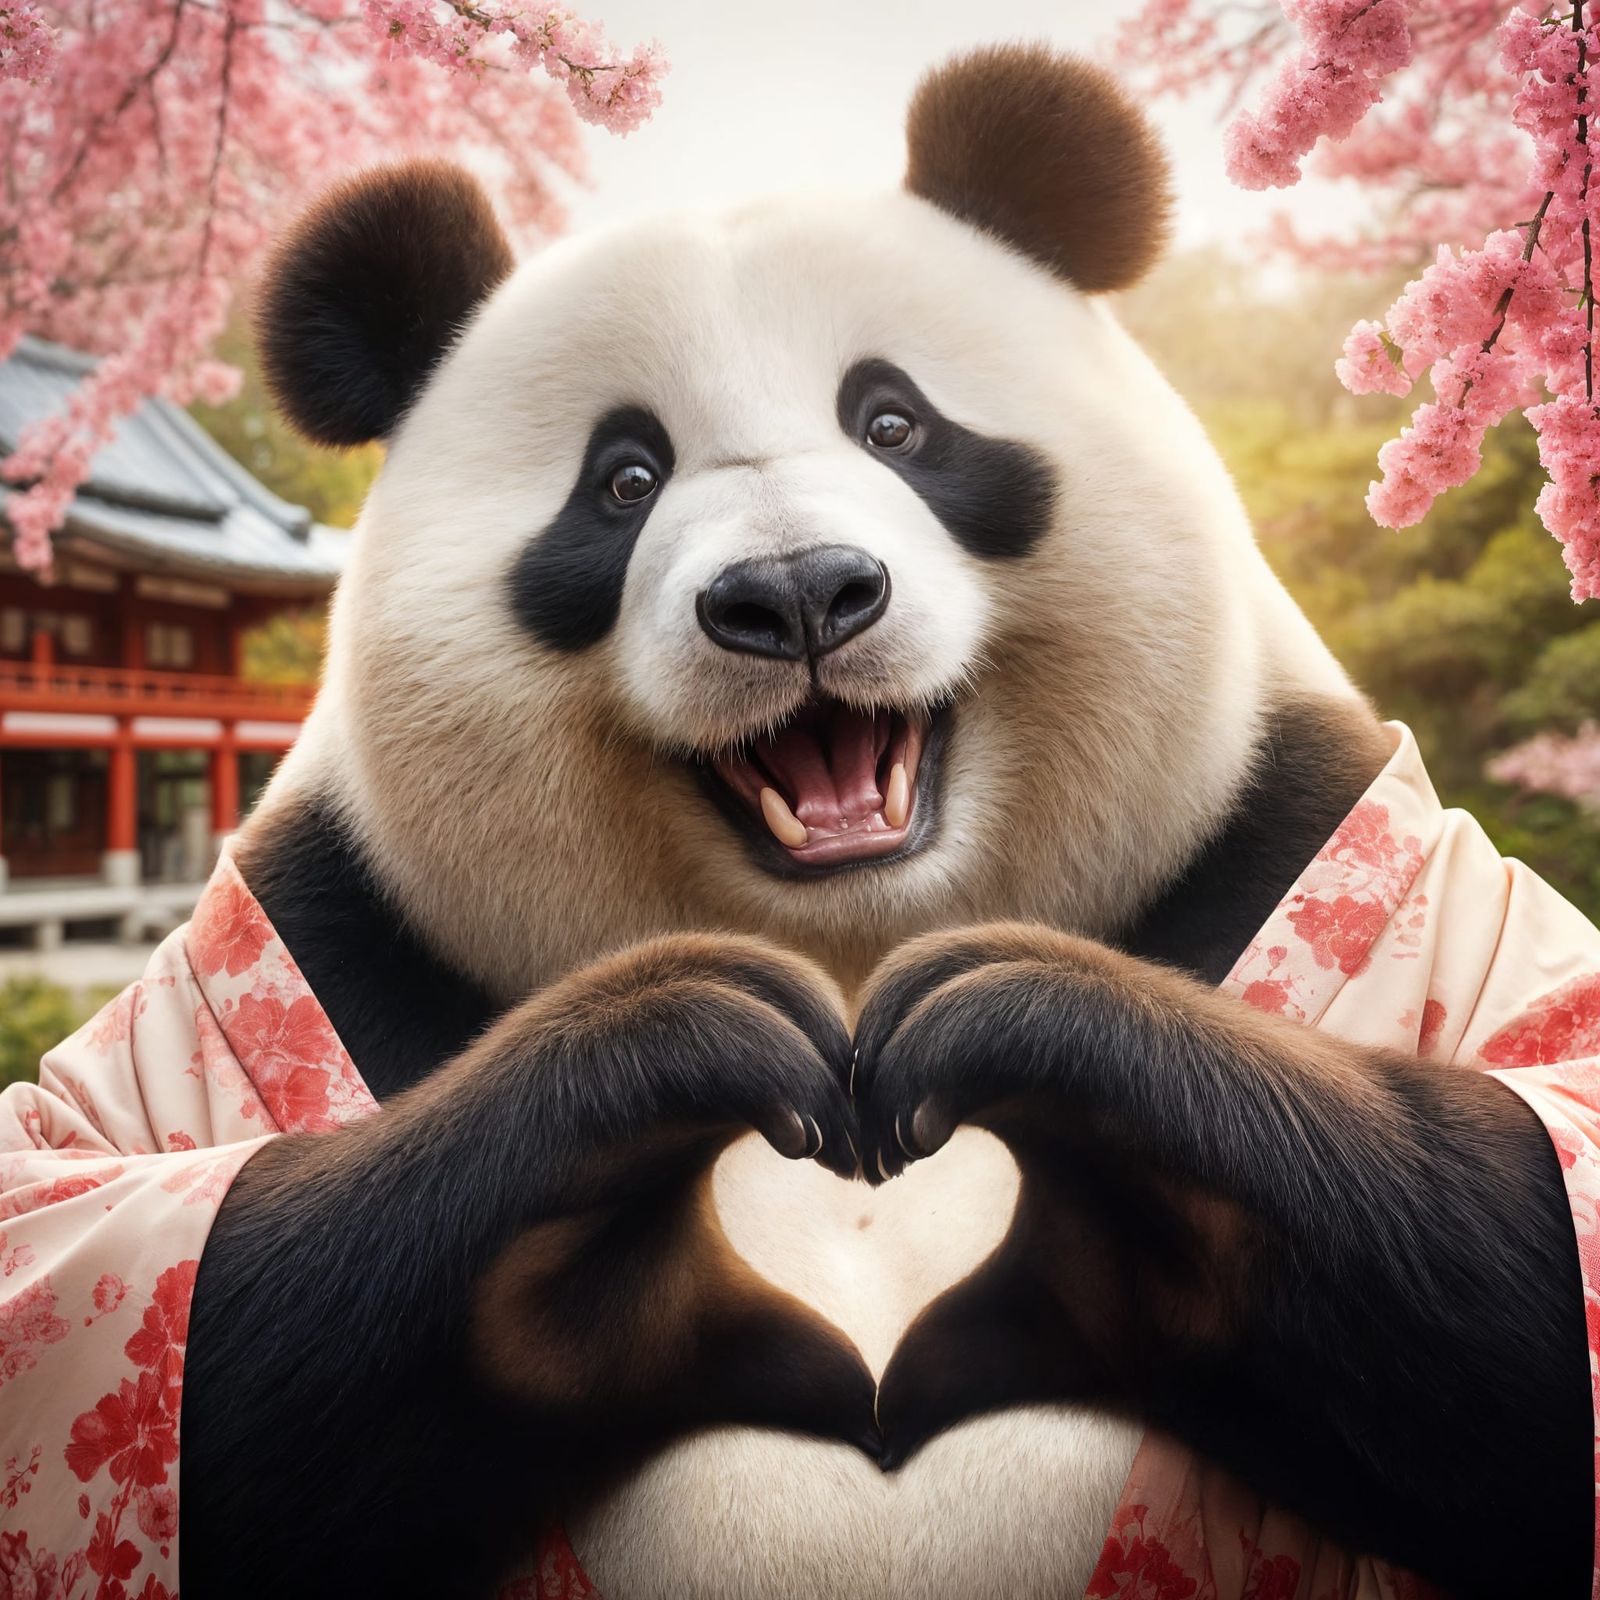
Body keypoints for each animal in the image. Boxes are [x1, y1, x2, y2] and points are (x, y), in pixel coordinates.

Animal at [171, 43, 1590, 1600]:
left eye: (895, 424)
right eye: (623, 481)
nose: (797, 593)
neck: (853, 942)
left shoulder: (1321, 824)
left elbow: (1538, 1156)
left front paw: (1017, 1021)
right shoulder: (313, 931)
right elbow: (162, 1254)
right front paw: (681, 1045)